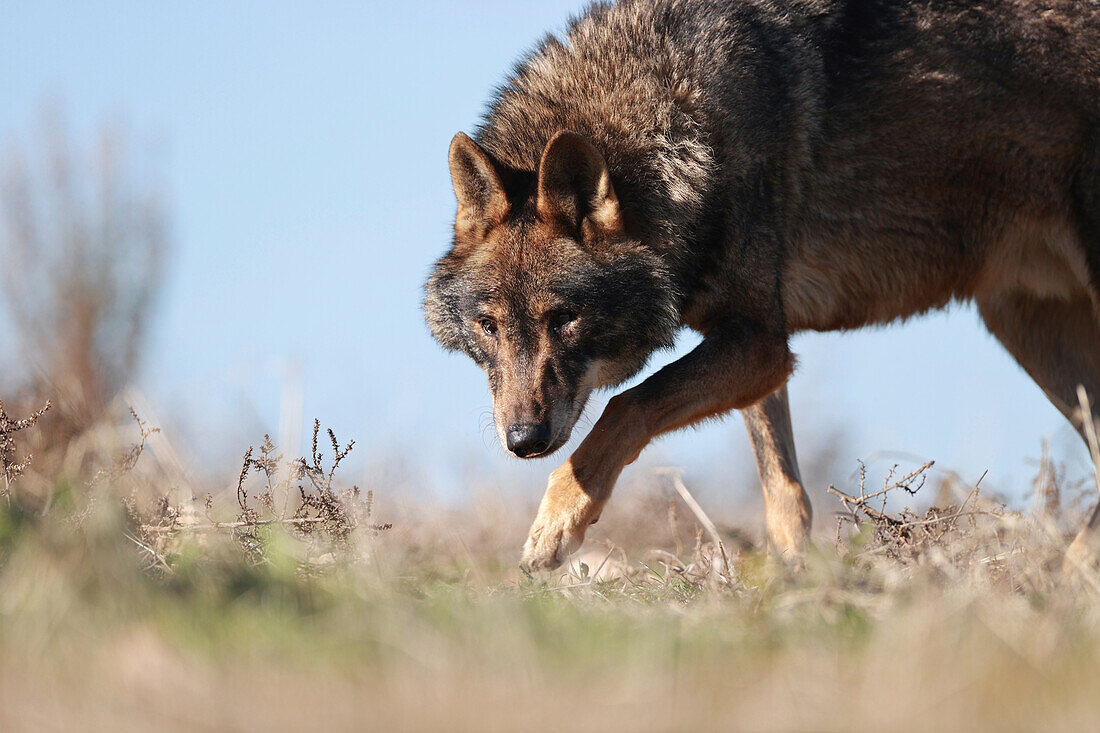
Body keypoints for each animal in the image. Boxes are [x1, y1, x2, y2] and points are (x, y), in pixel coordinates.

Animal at [422, 0, 1100, 572]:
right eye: (488, 326)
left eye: (564, 319)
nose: (524, 441)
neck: (683, 130)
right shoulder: (755, 349)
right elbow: (785, 496)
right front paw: (796, 586)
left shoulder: (759, 345)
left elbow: (624, 408)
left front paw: (554, 527)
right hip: (1027, 330)